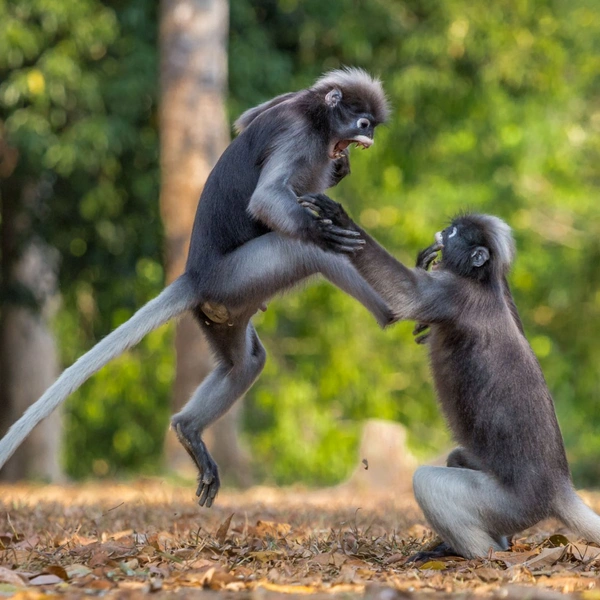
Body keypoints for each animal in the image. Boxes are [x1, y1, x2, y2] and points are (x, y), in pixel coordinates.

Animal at [0, 68, 394, 504]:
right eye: (363, 123)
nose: (370, 138)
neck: (316, 117)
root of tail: (194, 276)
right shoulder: (298, 132)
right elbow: (266, 200)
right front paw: (325, 216)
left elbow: (246, 119)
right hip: (239, 276)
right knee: (302, 249)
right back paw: (391, 311)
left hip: (224, 308)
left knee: (245, 362)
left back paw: (188, 429)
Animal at [302, 195, 600, 560]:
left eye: (456, 232)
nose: (443, 232)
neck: (481, 283)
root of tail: (560, 488)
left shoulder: (453, 294)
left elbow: (408, 296)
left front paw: (340, 218)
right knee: (457, 458)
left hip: (510, 505)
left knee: (427, 482)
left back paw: (478, 555)